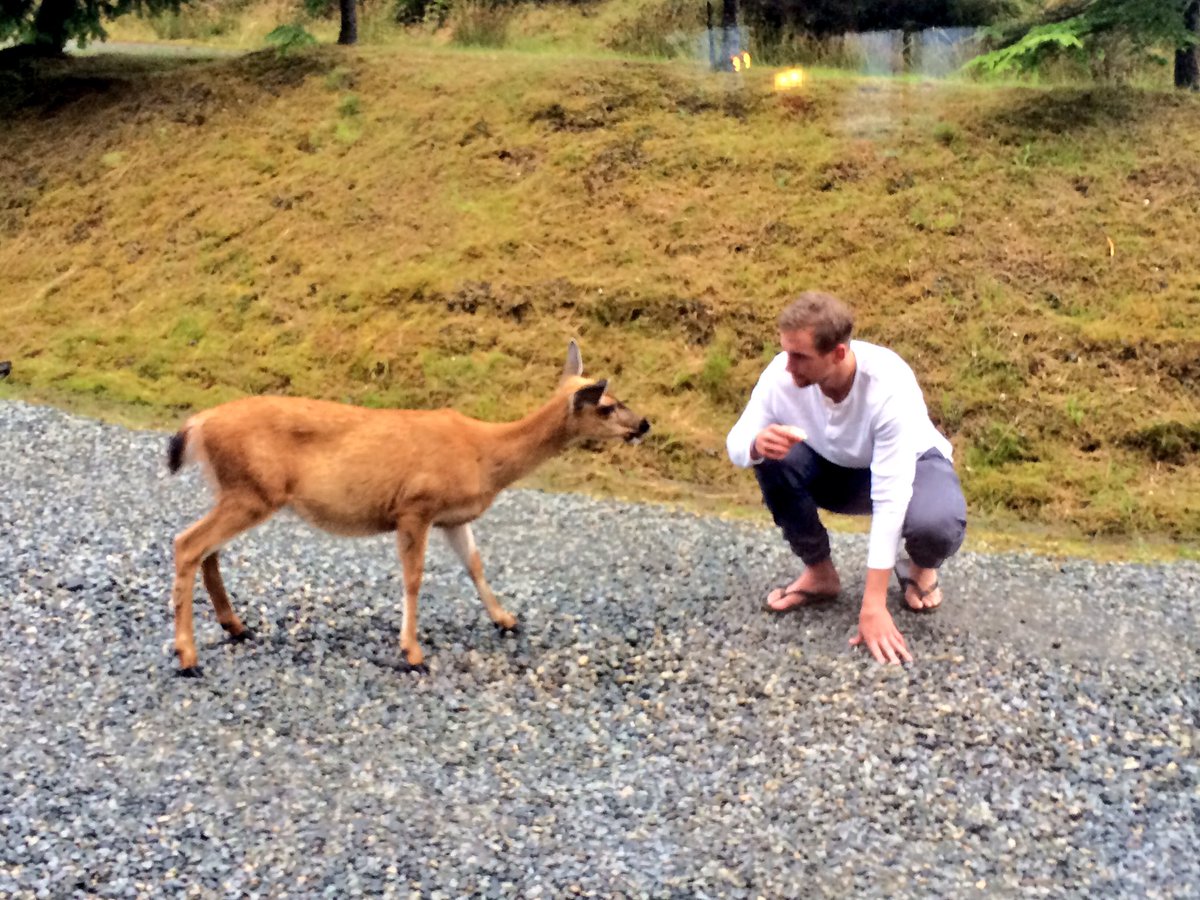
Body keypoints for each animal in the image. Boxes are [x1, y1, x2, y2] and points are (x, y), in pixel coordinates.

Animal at [165, 341, 650, 677]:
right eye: (607, 406)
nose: (644, 423)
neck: (485, 456)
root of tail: (198, 424)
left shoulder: (452, 517)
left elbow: (475, 565)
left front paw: (506, 619)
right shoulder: (416, 505)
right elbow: (414, 578)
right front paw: (413, 652)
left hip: (236, 490)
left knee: (208, 550)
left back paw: (236, 626)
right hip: (252, 490)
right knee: (187, 543)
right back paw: (188, 656)